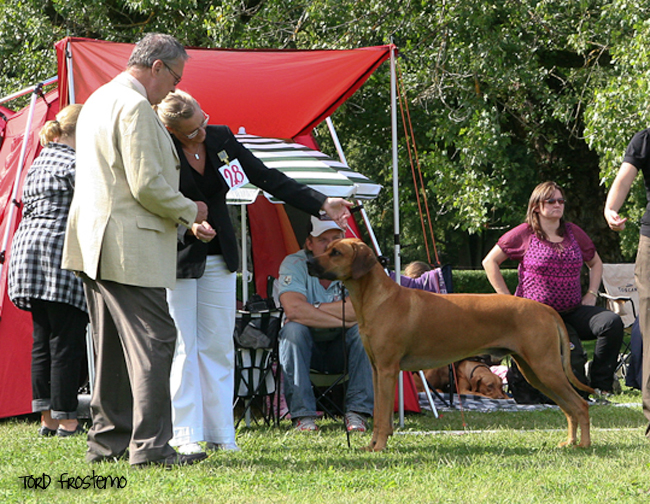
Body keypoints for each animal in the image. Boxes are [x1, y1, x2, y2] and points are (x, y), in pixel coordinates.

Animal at [306, 238, 596, 450]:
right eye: (327, 249)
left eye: (335, 252)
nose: (308, 261)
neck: (377, 298)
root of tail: (546, 309)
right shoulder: (378, 371)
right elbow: (379, 413)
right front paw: (373, 445)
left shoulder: (388, 370)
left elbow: (381, 415)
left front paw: (378, 447)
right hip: (535, 372)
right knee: (569, 408)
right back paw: (570, 442)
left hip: (545, 368)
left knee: (580, 405)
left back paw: (584, 444)